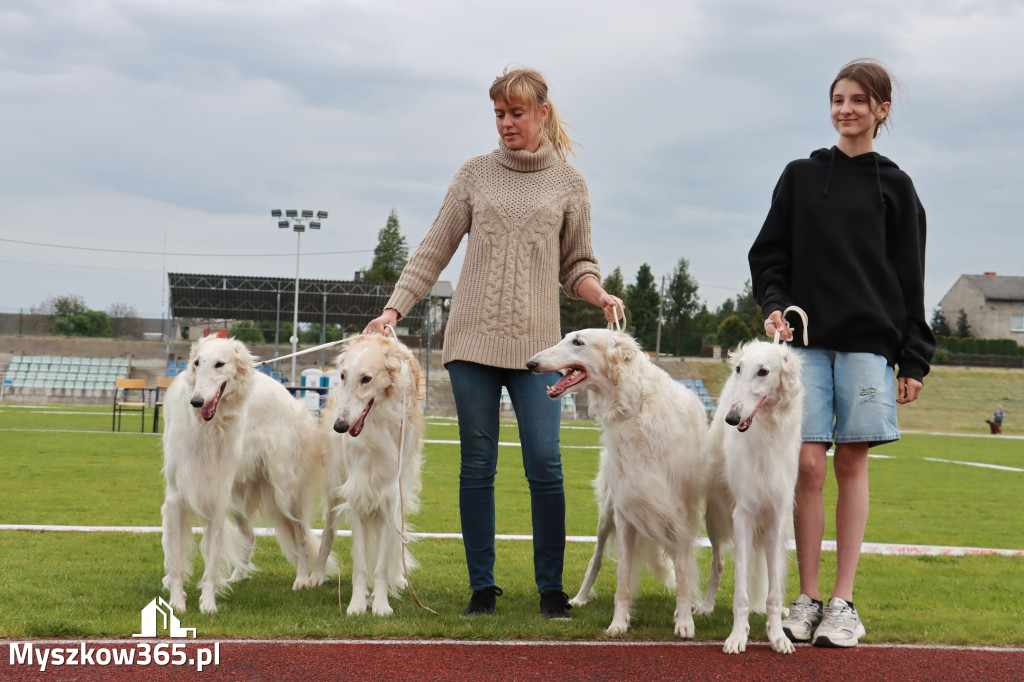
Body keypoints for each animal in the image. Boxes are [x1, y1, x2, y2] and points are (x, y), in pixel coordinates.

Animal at [160, 333, 327, 610]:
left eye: (219, 364)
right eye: (196, 363)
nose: (196, 401)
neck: (208, 428)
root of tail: (292, 399)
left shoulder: (215, 497)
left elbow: (210, 563)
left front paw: (208, 603)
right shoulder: (177, 498)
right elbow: (176, 561)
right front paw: (177, 601)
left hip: (286, 492)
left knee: (301, 535)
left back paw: (302, 578)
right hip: (239, 497)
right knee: (250, 536)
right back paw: (237, 574)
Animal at [311, 331, 423, 614]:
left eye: (366, 379)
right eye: (342, 376)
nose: (339, 426)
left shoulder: (390, 496)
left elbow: (381, 563)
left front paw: (380, 604)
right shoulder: (358, 492)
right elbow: (361, 564)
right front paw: (357, 604)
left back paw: (397, 579)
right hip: (334, 486)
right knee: (328, 533)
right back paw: (315, 575)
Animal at [528, 327, 704, 634]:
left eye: (578, 342)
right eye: (565, 337)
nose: (530, 364)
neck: (635, 407)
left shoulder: (680, 513)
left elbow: (683, 571)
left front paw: (684, 622)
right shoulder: (627, 512)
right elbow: (622, 576)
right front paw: (619, 623)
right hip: (607, 514)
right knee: (596, 559)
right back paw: (579, 598)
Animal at [708, 339, 802, 655]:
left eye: (763, 371)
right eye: (739, 368)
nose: (732, 418)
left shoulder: (776, 516)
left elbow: (773, 592)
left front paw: (778, 636)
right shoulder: (743, 515)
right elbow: (741, 592)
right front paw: (738, 636)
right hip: (714, 515)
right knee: (718, 562)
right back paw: (704, 606)